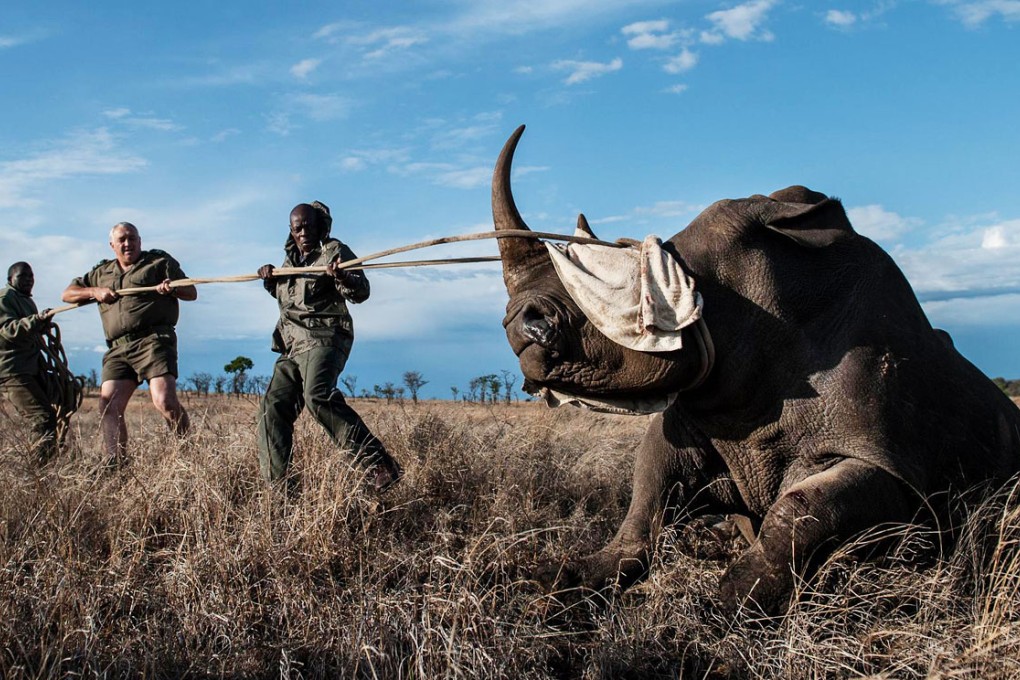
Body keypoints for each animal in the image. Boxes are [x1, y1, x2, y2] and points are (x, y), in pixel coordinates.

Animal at [492, 125, 1020, 615]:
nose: (520, 324)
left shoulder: (893, 466)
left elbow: (803, 508)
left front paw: (730, 602)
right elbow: (648, 496)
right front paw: (562, 579)